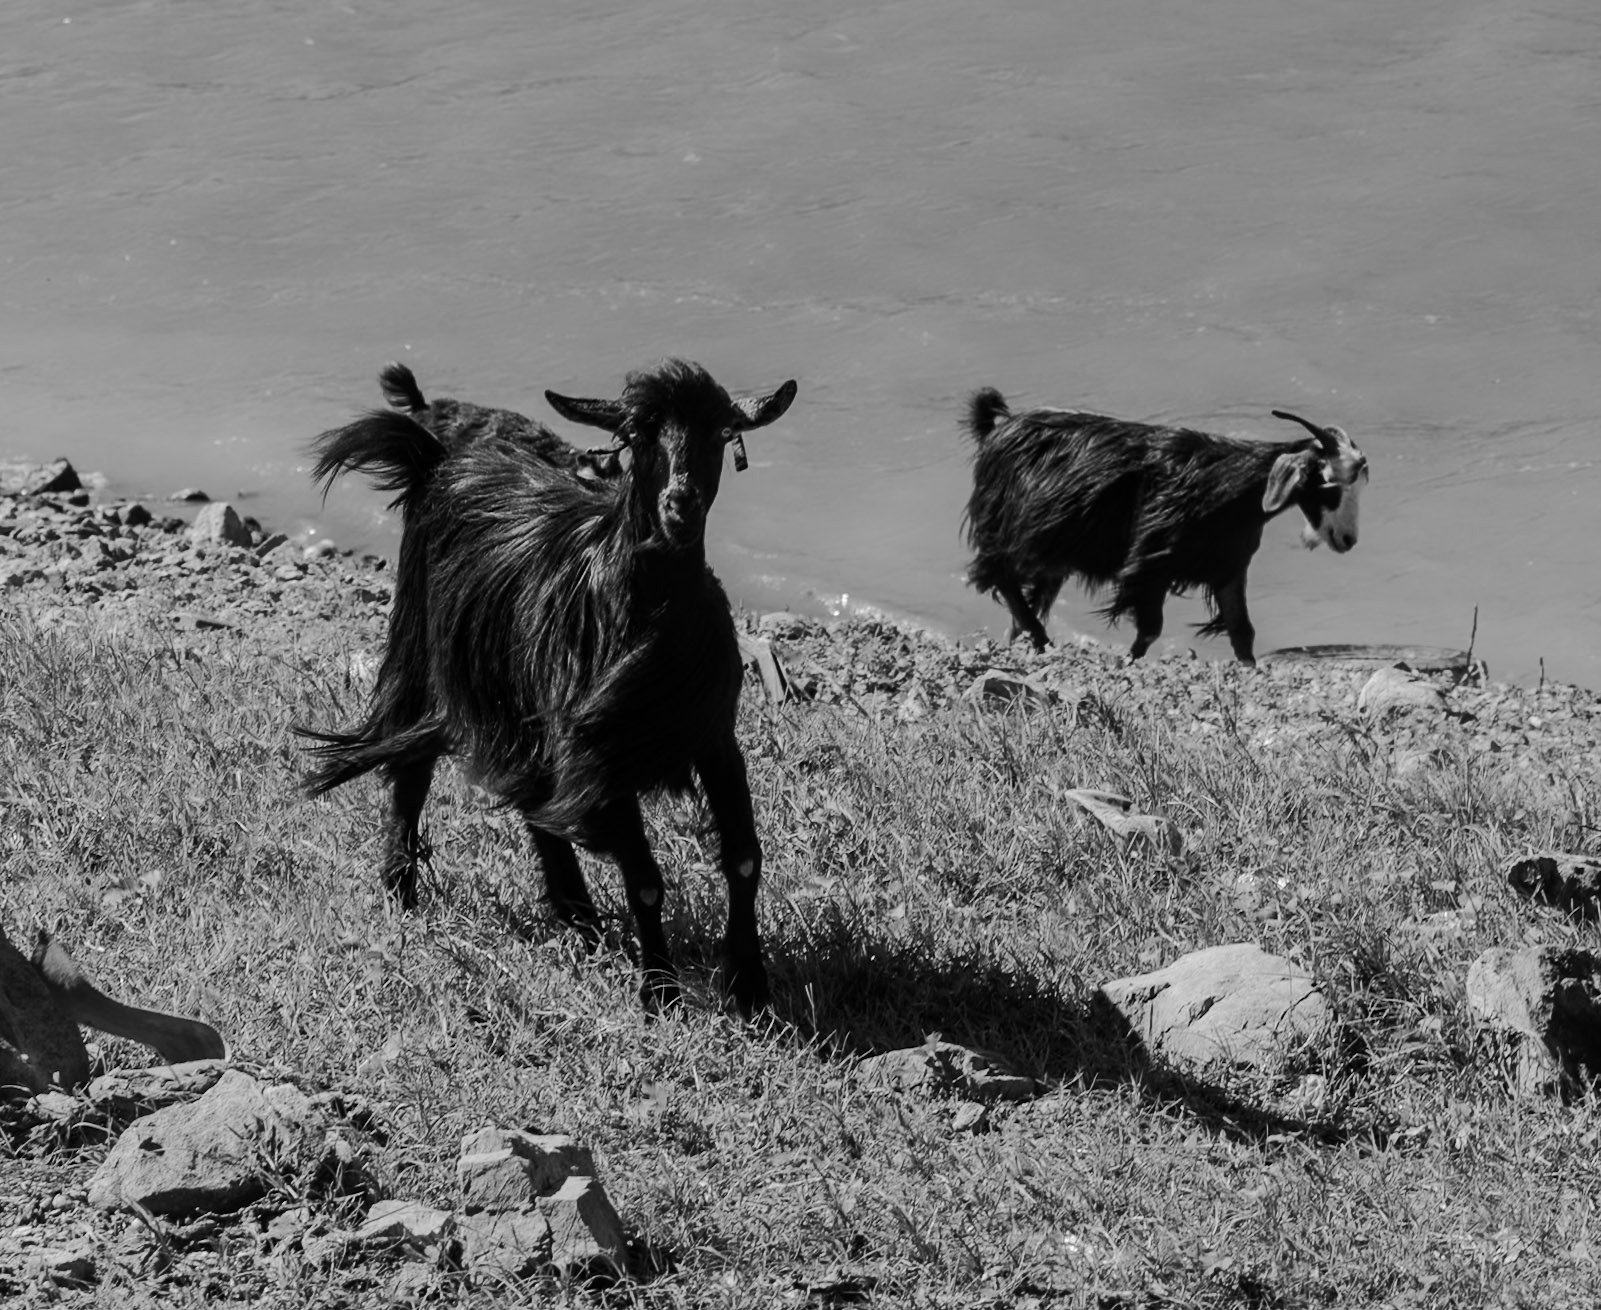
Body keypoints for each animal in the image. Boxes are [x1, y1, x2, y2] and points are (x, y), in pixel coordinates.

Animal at [962, 389, 1367, 663]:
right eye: (1328, 485)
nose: (1348, 539)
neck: (1228, 488)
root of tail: (997, 428)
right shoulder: (1149, 566)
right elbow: (1150, 631)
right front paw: (1129, 661)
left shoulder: (1228, 568)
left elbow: (1242, 631)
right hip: (1011, 535)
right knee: (1001, 578)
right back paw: (1041, 639)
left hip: (1052, 553)